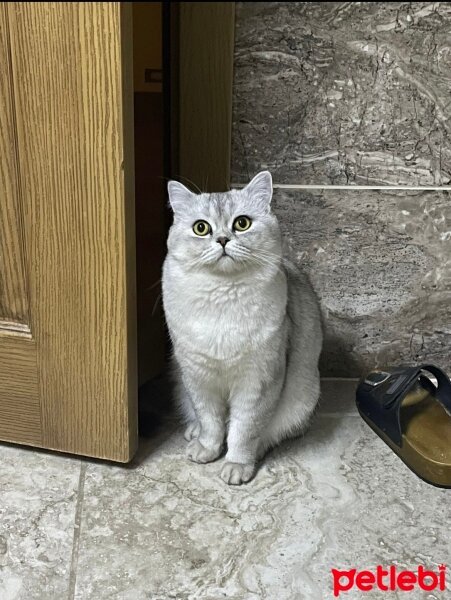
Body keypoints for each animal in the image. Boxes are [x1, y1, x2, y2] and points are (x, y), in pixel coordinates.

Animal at [162, 170, 324, 482]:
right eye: (201, 228)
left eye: (242, 223)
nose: (223, 240)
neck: (223, 295)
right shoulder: (197, 377)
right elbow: (211, 421)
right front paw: (207, 449)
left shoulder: (258, 381)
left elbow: (244, 430)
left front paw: (236, 464)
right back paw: (193, 433)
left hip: (302, 399)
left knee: (270, 434)